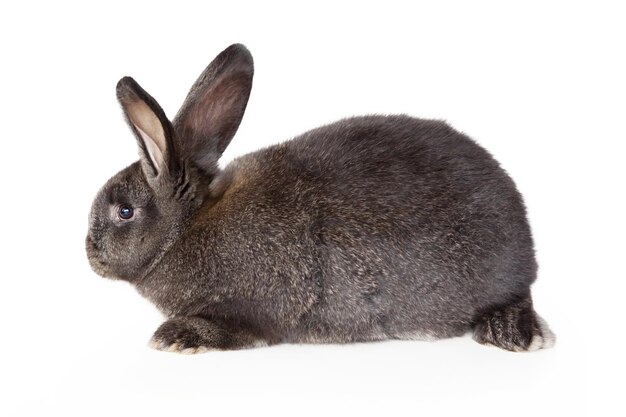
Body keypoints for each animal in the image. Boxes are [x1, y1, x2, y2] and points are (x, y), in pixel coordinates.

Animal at [85, 44, 552, 352]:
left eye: (124, 211)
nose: (90, 253)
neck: (188, 227)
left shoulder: (251, 308)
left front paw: (177, 337)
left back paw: (515, 332)